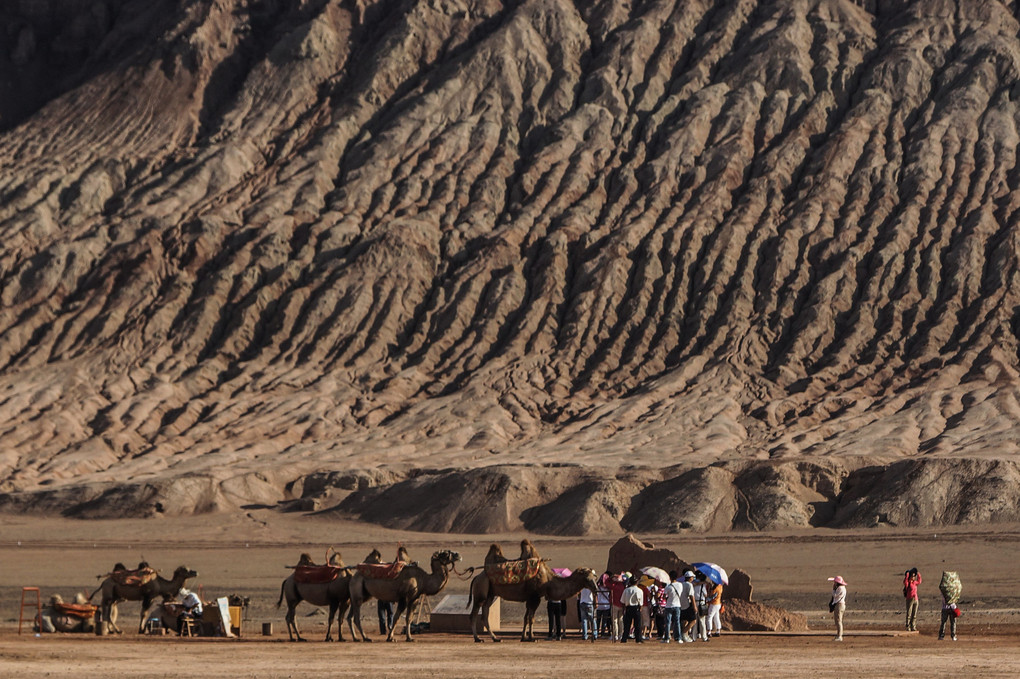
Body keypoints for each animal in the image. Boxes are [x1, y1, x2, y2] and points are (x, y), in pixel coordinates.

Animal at [467, 558, 599, 640]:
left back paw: (495, 638)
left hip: (490, 595)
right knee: (474, 614)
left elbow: (526, 618)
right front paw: (531, 637)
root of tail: (476, 577)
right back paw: (477, 638)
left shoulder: (530, 599)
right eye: (588, 579)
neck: (548, 580)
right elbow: (531, 618)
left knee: (485, 614)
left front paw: (523, 637)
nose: (596, 588)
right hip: (481, 592)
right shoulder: (535, 597)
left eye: (594, 577)